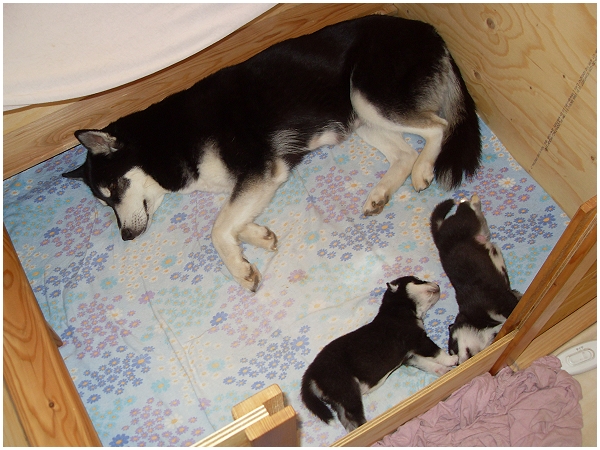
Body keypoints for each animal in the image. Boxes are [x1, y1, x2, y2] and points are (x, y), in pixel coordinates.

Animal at [63, 15, 481, 292]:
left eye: (116, 188)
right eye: (104, 203)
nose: (125, 237)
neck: (166, 139)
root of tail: (428, 29)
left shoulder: (260, 169)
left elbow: (217, 228)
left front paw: (239, 267)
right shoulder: (253, 181)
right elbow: (232, 217)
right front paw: (258, 236)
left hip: (368, 95)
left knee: (437, 127)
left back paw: (424, 169)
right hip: (360, 115)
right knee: (403, 152)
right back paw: (381, 194)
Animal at [300, 276, 458, 432]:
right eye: (418, 280)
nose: (437, 284)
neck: (398, 310)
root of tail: (311, 373)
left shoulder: (410, 356)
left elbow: (428, 364)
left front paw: (444, 370)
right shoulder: (416, 339)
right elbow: (436, 352)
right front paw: (452, 359)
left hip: (338, 398)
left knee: (347, 419)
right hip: (346, 388)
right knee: (353, 416)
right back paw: (365, 427)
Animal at [430, 194, 522, 364]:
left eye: (454, 347)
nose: (458, 363)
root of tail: (439, 235)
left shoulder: (500, 300)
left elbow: (513, 308)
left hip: (463, 223)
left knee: (466, 208)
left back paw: (470, 200)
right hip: (479, 227)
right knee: (478, 217)